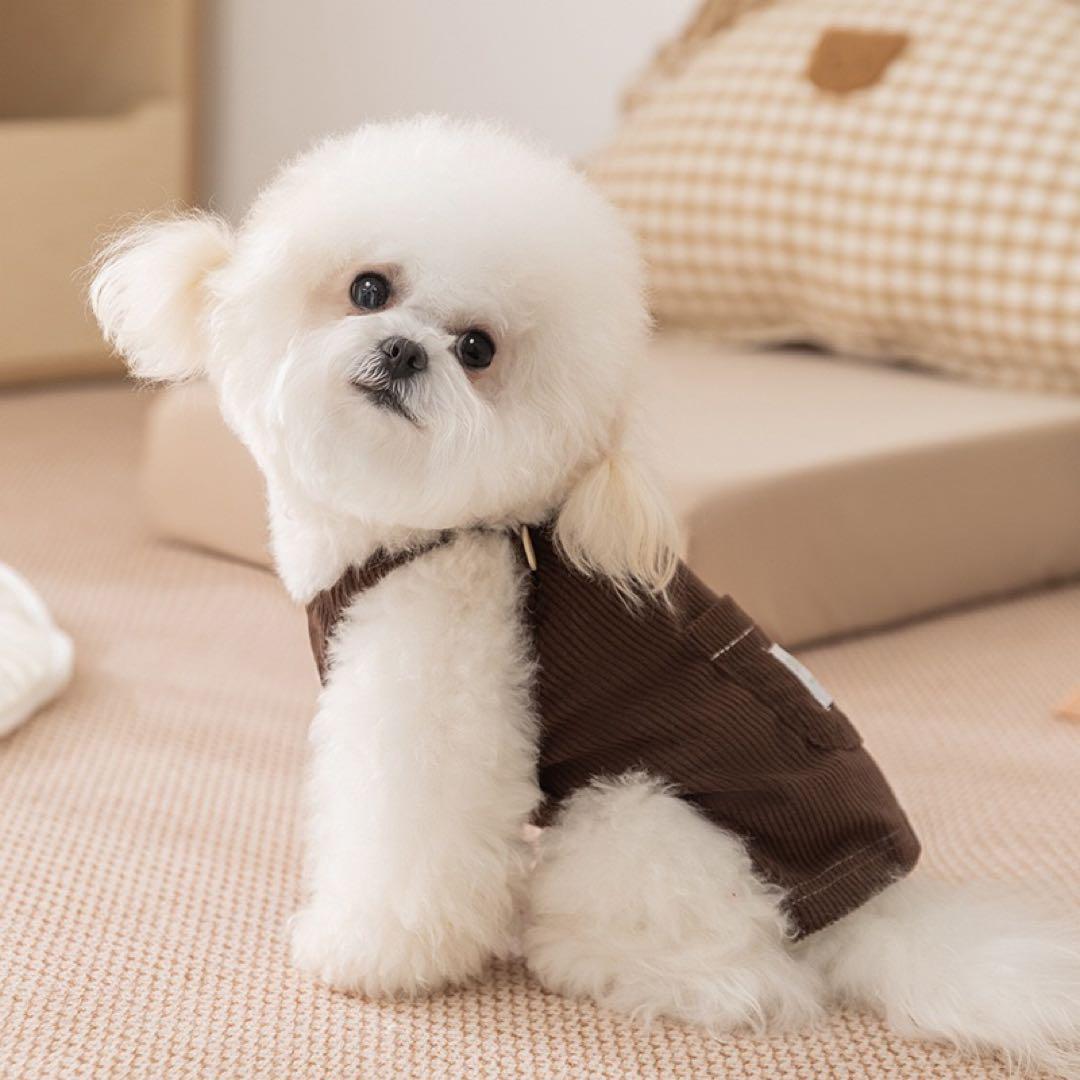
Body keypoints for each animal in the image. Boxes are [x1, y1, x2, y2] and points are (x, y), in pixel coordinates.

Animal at [91, 116, 1079, 1074]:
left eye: (479, 350)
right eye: (368, 289)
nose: (406, 350)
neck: (401, 529)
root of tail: (876, 906)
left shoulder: (432, 690)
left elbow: (404, 845)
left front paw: (367, 956)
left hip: (637, 818)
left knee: (751, 982)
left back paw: (585, 955)